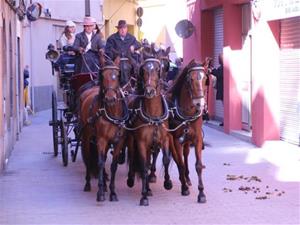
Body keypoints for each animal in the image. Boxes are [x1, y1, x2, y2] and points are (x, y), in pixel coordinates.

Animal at [78, 54, 129, 202]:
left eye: (117, 75)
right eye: (103, 75)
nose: (110, 98)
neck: (112, 112)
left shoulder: (119, 141)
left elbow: (113, 165)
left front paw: (112, 192)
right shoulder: (101, 140)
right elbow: (100, 162)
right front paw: (100, 192)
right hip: (86, 137)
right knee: (88, 157)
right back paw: (88, 184)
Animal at [168, 59, 207, 203]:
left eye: (205, 78)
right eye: (190, 79)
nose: (200, 104)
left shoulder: (197, 139)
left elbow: (198, 165)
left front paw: (201, 193)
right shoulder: (176, 140)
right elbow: (179, 162)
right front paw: (184, 188)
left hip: (187, 141)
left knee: (185, 155)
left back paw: (187, 178)